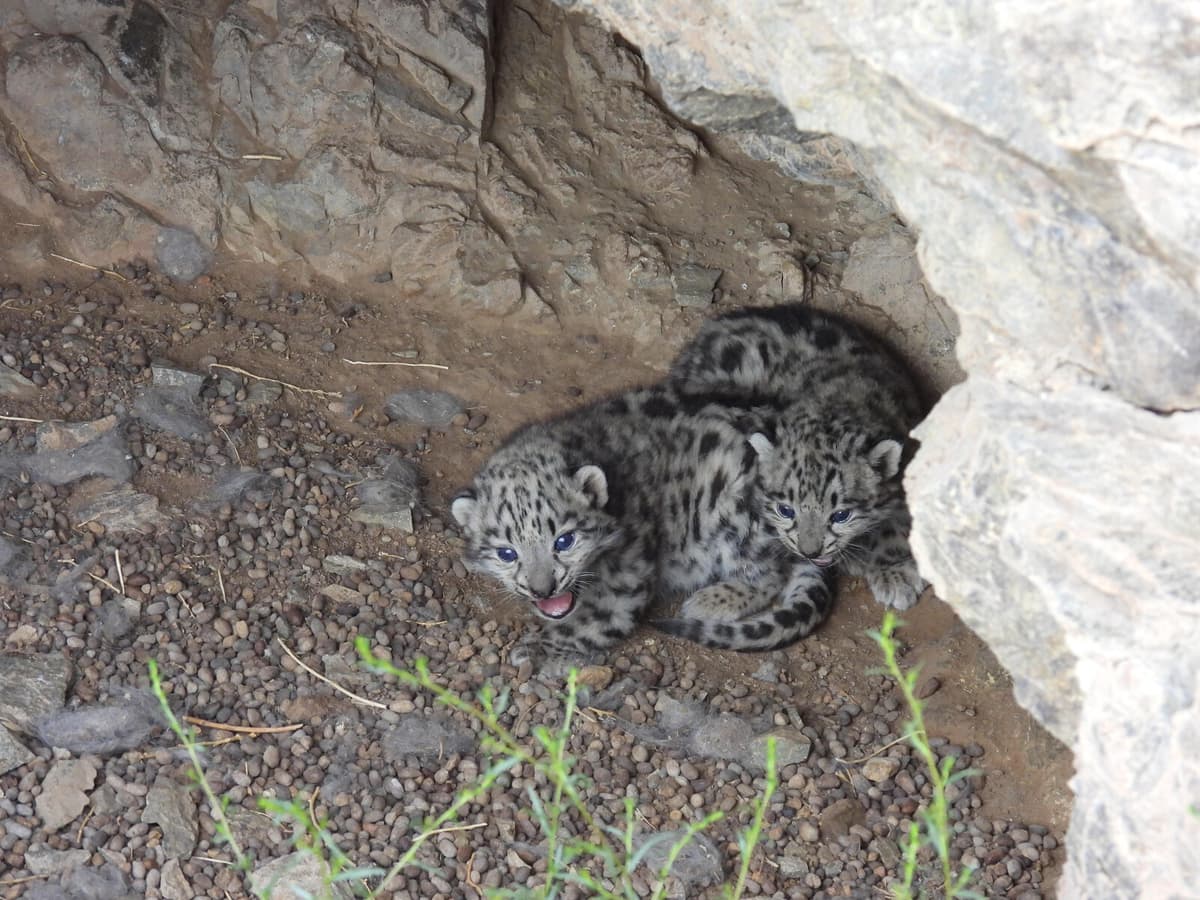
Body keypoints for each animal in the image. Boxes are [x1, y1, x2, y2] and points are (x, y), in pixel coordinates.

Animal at [450, 382, 834, 660]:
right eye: (507, 553)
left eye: (564, 540)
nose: (542, 589)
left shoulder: (627, 577)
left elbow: (597, 621)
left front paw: (537, 648)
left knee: (770, 575)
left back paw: (710, 601)